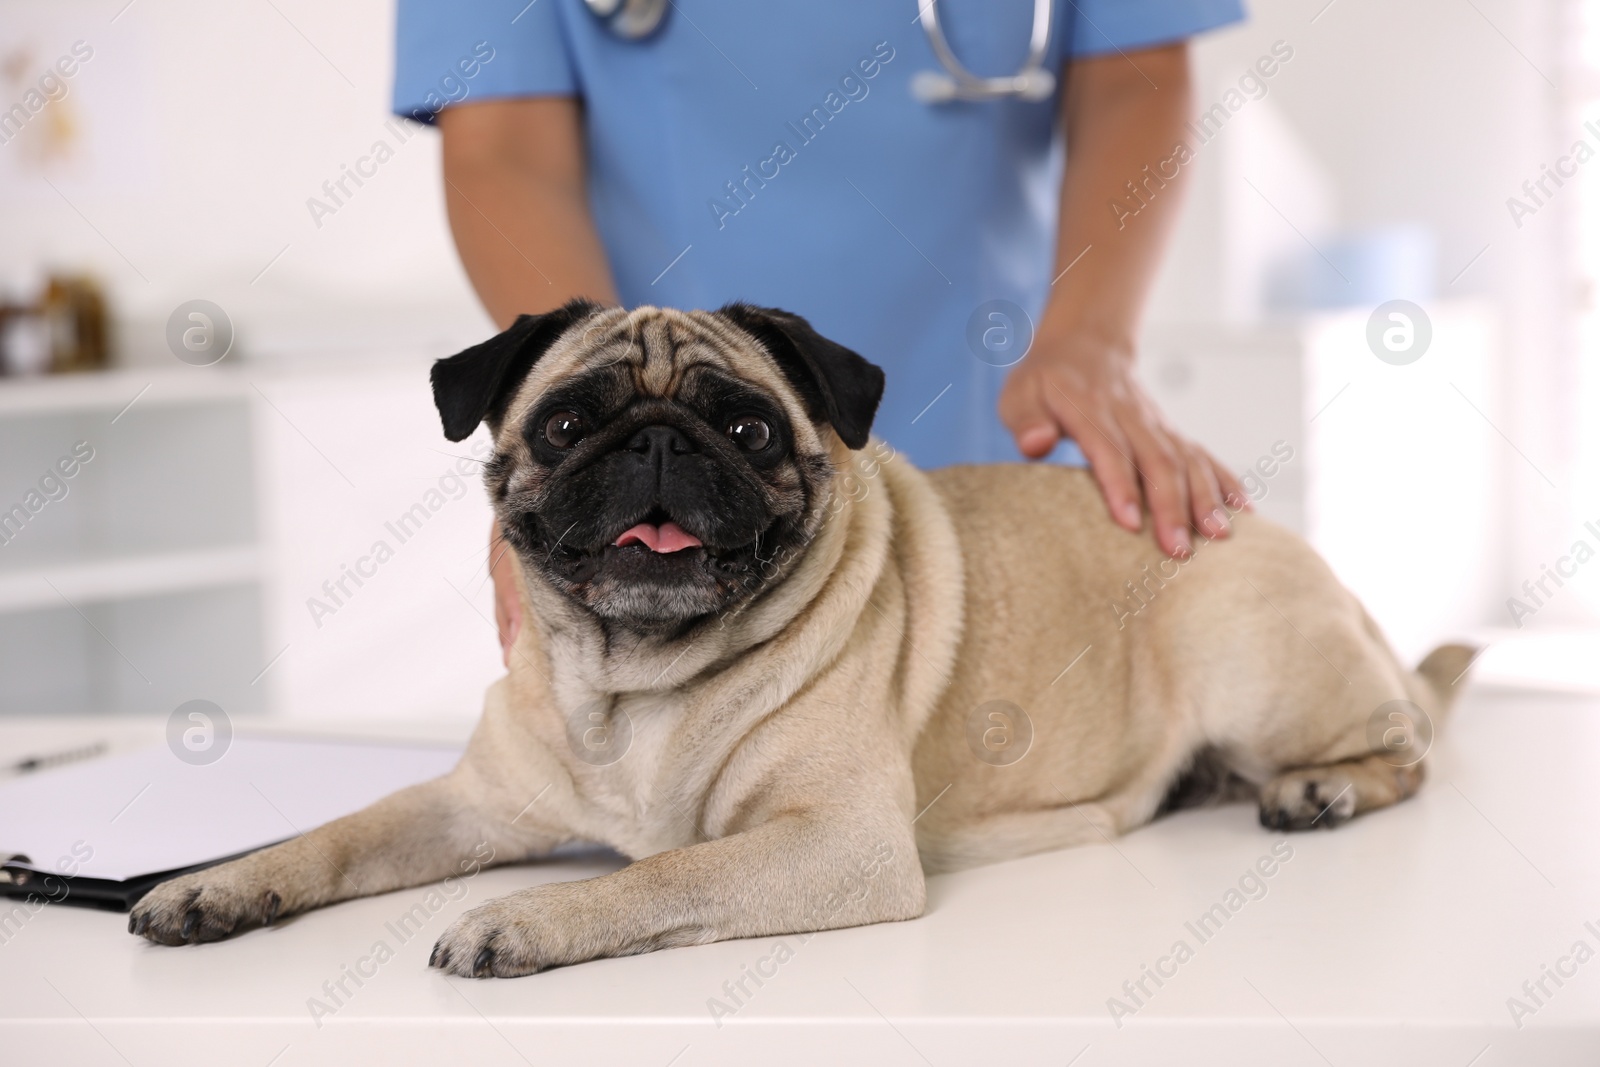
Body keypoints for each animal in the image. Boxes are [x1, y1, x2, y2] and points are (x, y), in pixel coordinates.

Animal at [128, 300, 1472, 979]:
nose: (656, 440)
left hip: (1251, 658)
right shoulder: (463, 806)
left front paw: (529, 919)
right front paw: (213, 884)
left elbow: (661, 873)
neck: (633, 683)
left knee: (1408, 752)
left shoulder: (835, 841)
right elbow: (337, 833)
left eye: (747, 428)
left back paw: (1318, 790)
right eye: (564, 422)